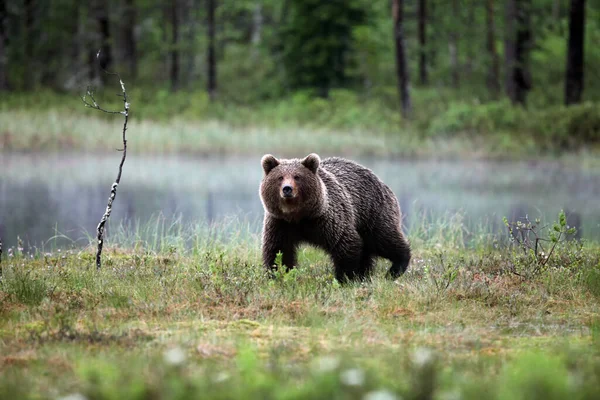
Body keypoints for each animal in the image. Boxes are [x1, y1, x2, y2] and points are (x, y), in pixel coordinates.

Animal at [258, 152, 412, 282]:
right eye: (280, 177)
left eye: (297, 176)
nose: (287, 189)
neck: (298, 215)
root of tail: (382, 183)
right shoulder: (280, 223)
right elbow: (278, 251)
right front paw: (278, 275)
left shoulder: (327, 219)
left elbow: (346, 244)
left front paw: (344, 278)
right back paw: (365, 274)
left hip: (373, 212)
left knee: (384, 238)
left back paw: (395, 268)